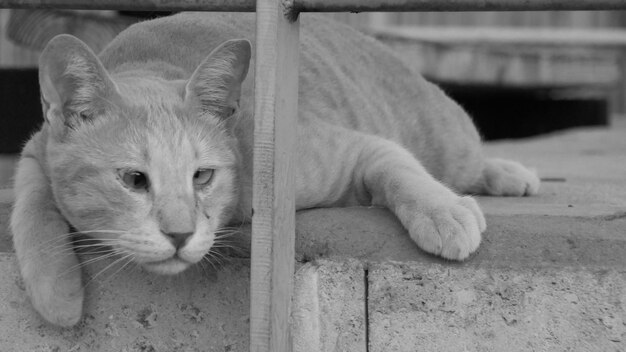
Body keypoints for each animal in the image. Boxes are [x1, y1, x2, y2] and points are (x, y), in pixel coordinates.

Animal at [8, 13, 536, 328]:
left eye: (202, 177)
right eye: (135, 180)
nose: (179, 235)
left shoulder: (352, 150)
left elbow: (400, 168)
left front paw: (443, 213)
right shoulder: (34, 150)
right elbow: (30, 205)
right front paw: (56, 291)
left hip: (452, 138)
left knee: (465, 161)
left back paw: (510, 175)